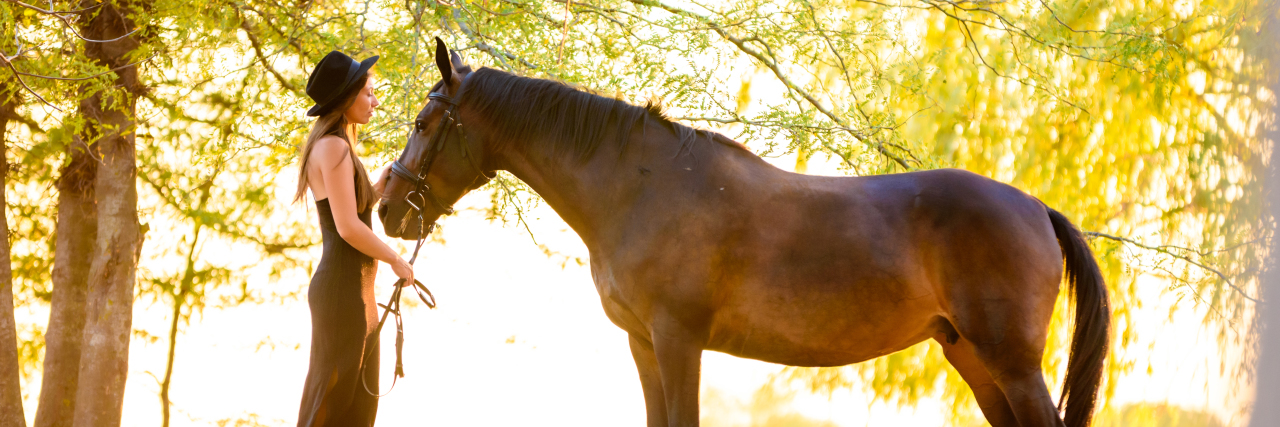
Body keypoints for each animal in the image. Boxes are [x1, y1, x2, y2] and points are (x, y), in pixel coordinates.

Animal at [377, 38, 1111, 427]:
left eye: (421, 123)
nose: (386, 211)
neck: (640, 189)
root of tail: (1036, 208)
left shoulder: (679, 339)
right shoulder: (644, 343)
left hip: (1011, 362)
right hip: (971, 356)